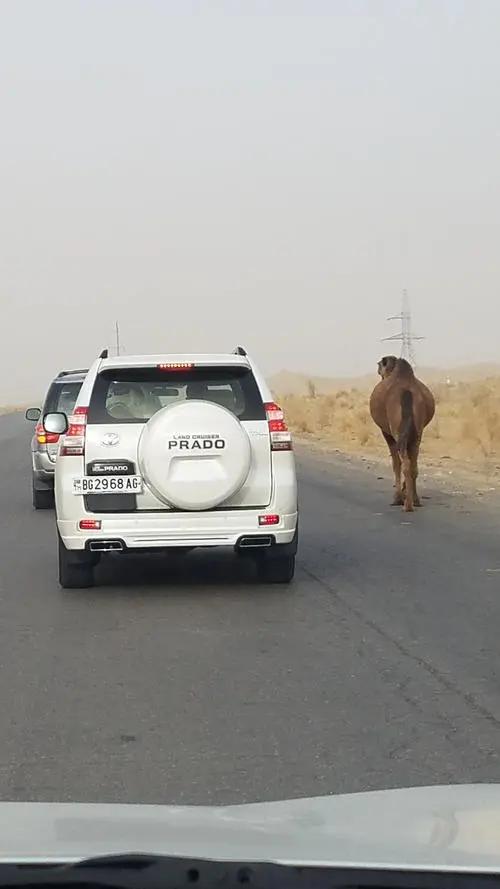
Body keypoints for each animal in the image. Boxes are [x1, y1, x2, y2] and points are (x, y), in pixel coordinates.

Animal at [370, 360, 436, 512]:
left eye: (380, 366)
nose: (378, 370)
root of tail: (407, 392)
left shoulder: (387, 433)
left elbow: (395, 464)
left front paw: (398, 497)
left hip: (396, 430)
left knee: (404, 463)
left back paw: (406, 504)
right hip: (417, 432)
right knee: (413, 464)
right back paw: (415, 500)